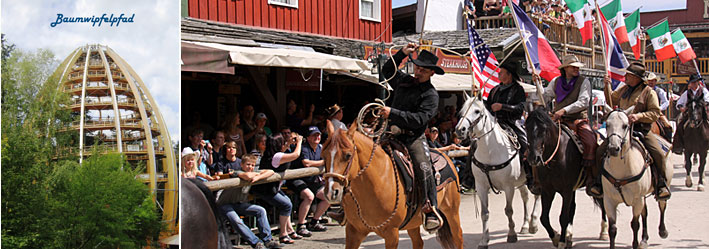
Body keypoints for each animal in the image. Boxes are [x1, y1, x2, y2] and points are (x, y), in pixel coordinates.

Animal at [322, 121, 464, 249]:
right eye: (323, 156)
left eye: (348, 155)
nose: (331, 193)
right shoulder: (353, 231)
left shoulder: (391, 233)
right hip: (413, 222)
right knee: (418, 242)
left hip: (452, 212)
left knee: (458, 237)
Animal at [456, 94, 540, 248]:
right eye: (462, 110)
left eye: (477, 111)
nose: (460, 130)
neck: (490, 151)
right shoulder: (481, 187)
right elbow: (485, 213)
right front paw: (484, 240)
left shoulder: (508, 187)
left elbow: (508, 210)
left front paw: (511, 234)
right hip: (522, 182)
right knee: (525, 197)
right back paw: (525, 225)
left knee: (537, 196)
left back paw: (533, 224)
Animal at [524, 107, 604, 249]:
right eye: (526, 127)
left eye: (543, 129)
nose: (534, 158)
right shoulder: (548, 191)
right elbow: (544, 218)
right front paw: (556, 237)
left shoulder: (566, 191)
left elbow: (563, 217)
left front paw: (561, 241)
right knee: (573, 208)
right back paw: (569, 236)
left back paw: (604, 232)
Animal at [600, 107, 672, 249]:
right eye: (608, 124)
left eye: (625, 125)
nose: (613, 148)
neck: (621, 169)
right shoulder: (609, 200)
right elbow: (613, 229)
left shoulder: (637, 200)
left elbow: (634, 224)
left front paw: (635, 243)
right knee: (645, 213)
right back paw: (644, 239)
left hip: (663, 186)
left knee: (662, 205)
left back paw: (663, 231)